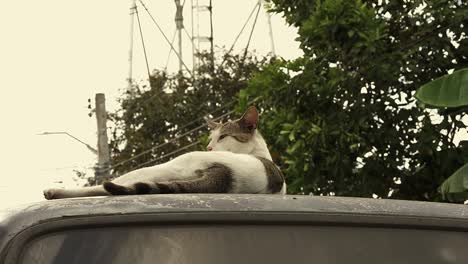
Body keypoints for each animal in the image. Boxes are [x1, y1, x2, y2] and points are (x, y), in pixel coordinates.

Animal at [44, 104, 286, 198]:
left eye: (224, 136)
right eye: (212, 138)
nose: (209, 147)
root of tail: (226, 175)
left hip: (168, 166)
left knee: (101, 188)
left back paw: (54, 192)